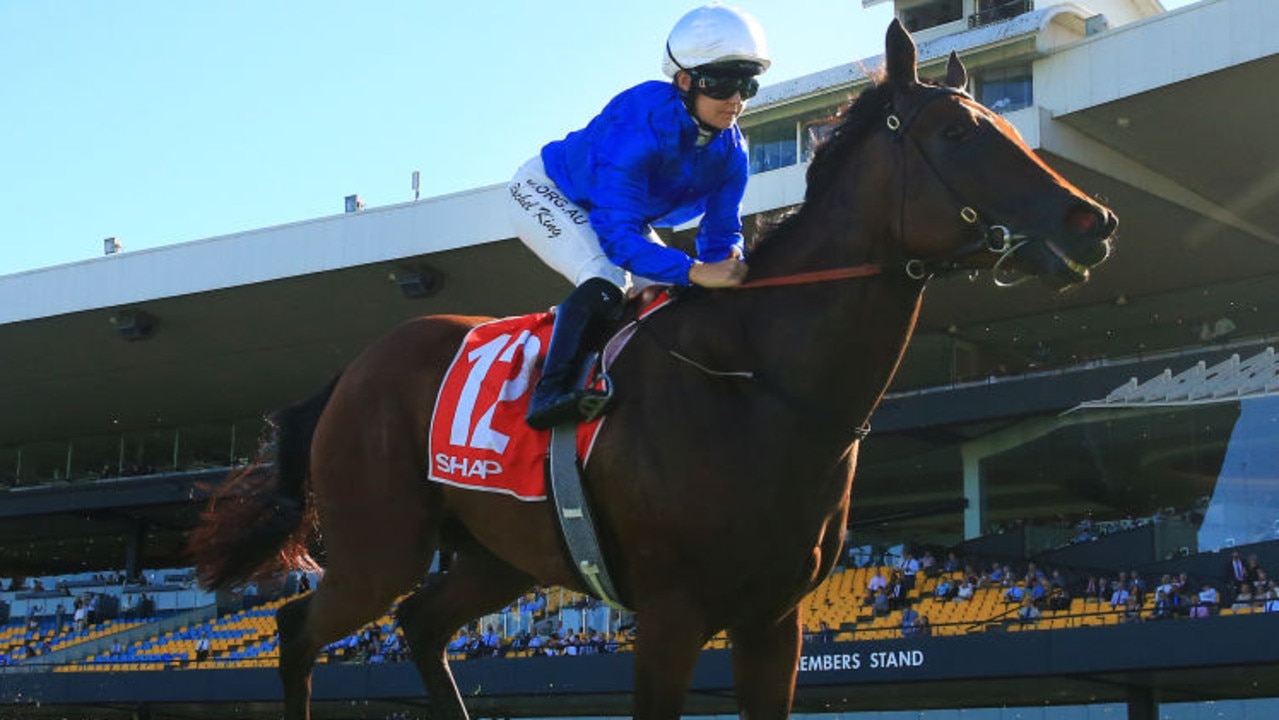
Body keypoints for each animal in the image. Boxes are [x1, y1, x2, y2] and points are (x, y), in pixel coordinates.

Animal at [189, 21, 1120, 720]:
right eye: (958, 134)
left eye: (1010, 122)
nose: (1094, 224)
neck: (758, 387)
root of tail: (349, 374)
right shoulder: (671, 618)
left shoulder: (773, 621)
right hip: (376, 549)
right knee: (298, 628)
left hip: (498, 555)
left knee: (418, 625)